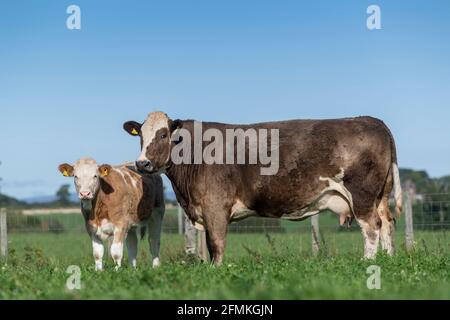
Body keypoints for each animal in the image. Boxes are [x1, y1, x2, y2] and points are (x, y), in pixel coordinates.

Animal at [122, 112, 400, 264]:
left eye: (163, 135)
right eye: (140, 136)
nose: (142, 163)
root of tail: (370, 119)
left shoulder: (215, 206)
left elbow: (216, 244)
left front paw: (216, 271)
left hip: (362, 194)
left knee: (372, 227)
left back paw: (368, 262)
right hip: (381, 194)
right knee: (387, 222)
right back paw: (388, 259)